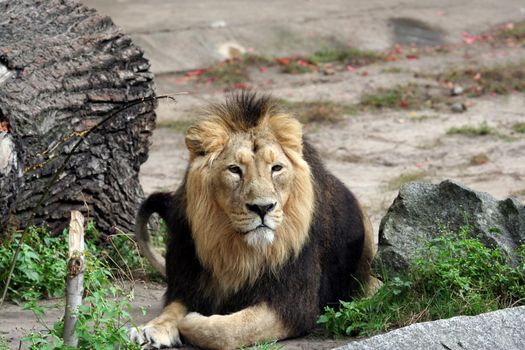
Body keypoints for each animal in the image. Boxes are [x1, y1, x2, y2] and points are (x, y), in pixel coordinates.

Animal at [129, 91, 378, 348]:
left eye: (276, 168)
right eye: (234, 169)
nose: (263, 207)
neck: (239, 252)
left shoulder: (293, 304)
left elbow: (227, 330)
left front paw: (192, 320)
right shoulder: (188, 281)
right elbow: (172, 308)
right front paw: (152, 329)